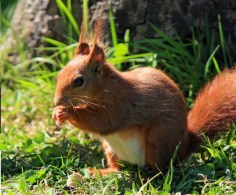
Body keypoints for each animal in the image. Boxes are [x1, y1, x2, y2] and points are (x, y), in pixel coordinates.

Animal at [52, 20, 236, 175]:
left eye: (78, 81)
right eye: (59, 74)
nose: (56, 101)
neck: (104, 87)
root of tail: (184, 144)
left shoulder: (119, 103)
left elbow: (102, 122)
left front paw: (66, 112)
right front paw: (57, 112)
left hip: (158, 138)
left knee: (161, 169)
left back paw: (150, 177)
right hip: (110, 148)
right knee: (117, 168)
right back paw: (103, 172)